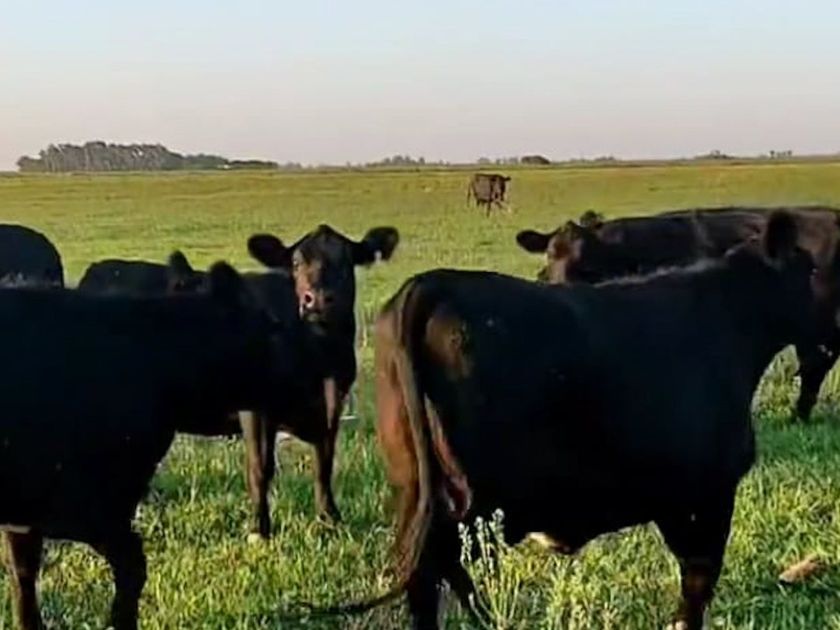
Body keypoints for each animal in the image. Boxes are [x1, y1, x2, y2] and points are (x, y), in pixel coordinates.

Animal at [78, 223, 399, 538]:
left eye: (346, 261)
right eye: (296, 263)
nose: (316, 298)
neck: (318, 354)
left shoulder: (332, 406)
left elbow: (324, 462)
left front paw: (330, 518)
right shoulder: (257, 408)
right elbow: (260, 468)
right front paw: (260, 529)